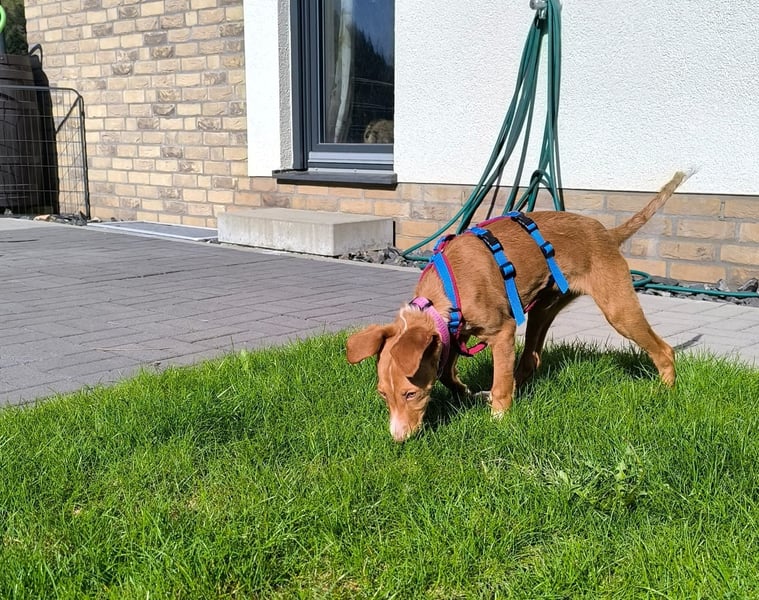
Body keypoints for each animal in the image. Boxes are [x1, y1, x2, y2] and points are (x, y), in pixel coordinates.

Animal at [347, 171, 688, 442]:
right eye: (383, 394)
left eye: (411, 393)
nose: (398, 439)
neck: (444, 291)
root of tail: (607, 233)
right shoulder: (454, 334)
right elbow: (447, 373)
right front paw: (466, 392)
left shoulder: (502, 332)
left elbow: (499, 381)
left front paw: (498, 419)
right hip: (542, 308)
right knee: (530, 361)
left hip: (618, 309)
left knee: (664, 350)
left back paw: (665, 392)